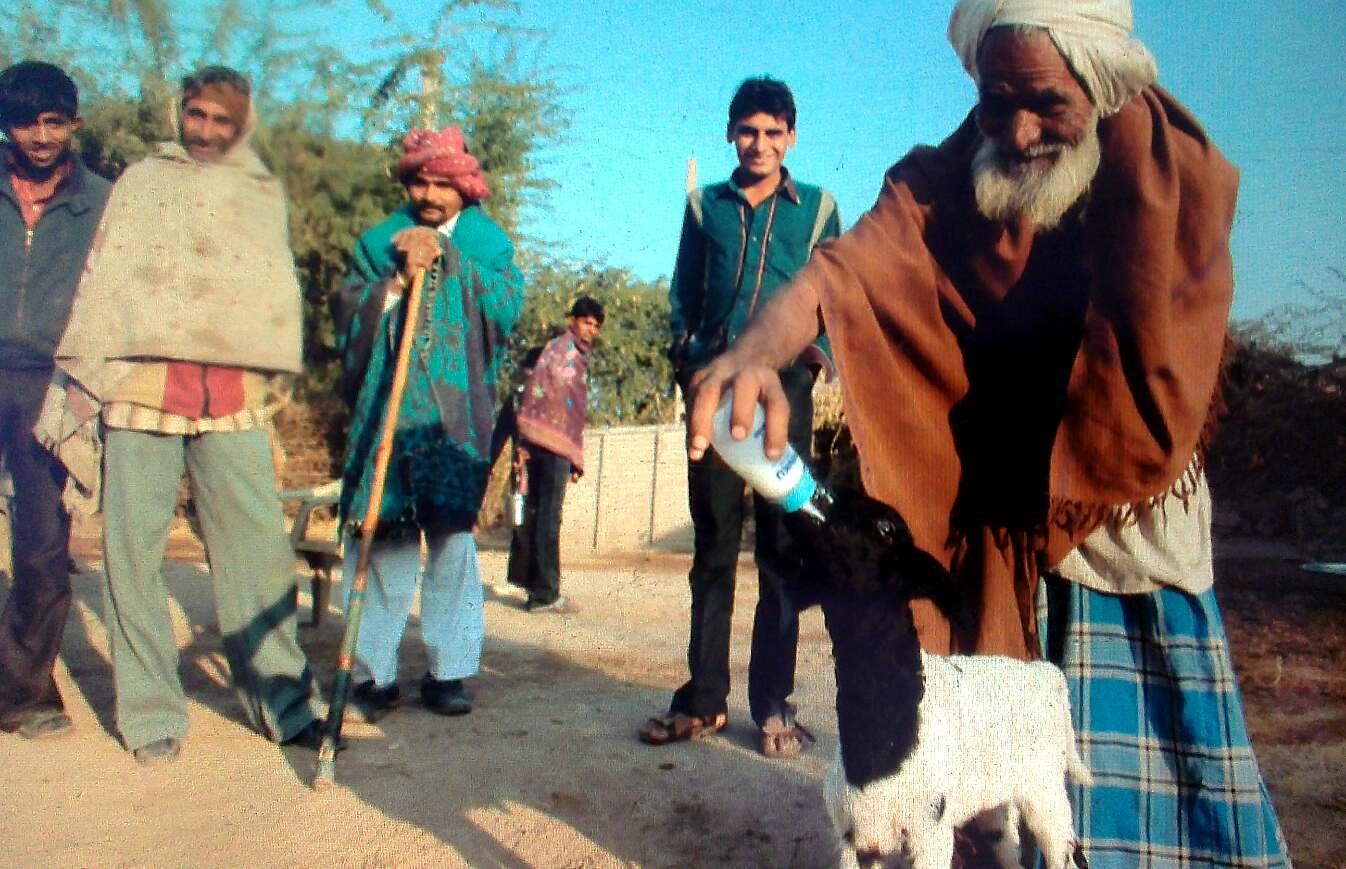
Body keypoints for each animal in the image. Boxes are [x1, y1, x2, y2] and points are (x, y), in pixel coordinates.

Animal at [786, 489, 1092, 869]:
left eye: (886, 528)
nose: (807, 504)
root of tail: (1046, 673)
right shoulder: (857, 840)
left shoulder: (930, 832)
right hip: (996, 794)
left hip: (1045, 785)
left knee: (1063, 849)